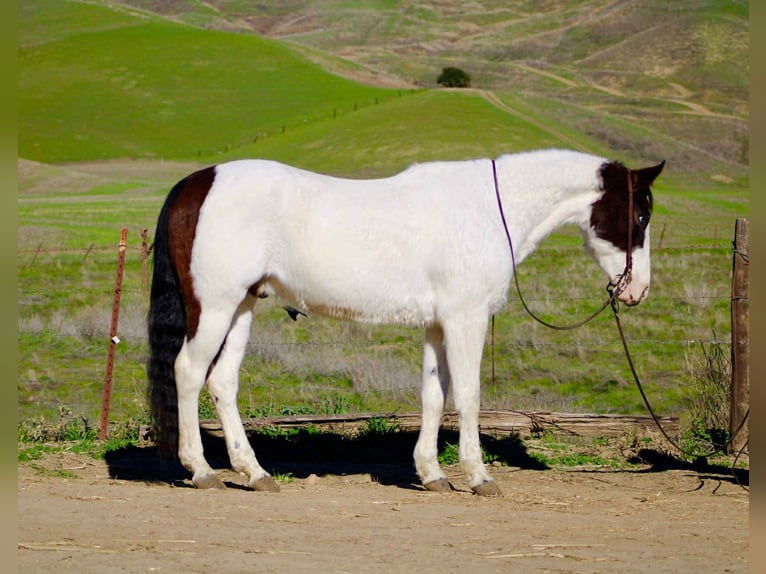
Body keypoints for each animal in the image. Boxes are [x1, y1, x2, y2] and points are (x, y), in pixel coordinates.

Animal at [147, 149, 664, 496]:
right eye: (640, 216)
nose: (637, 290)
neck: (487, 210)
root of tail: (199, 183)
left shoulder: (437, 325)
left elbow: (435, 395)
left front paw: (432, 474)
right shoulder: (465, 319)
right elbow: (469, 395)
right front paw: (479, 476)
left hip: (241, 308)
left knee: (222, 381)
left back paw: (254, 473)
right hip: (215, 307)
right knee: (188, 372)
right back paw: (202, 470)